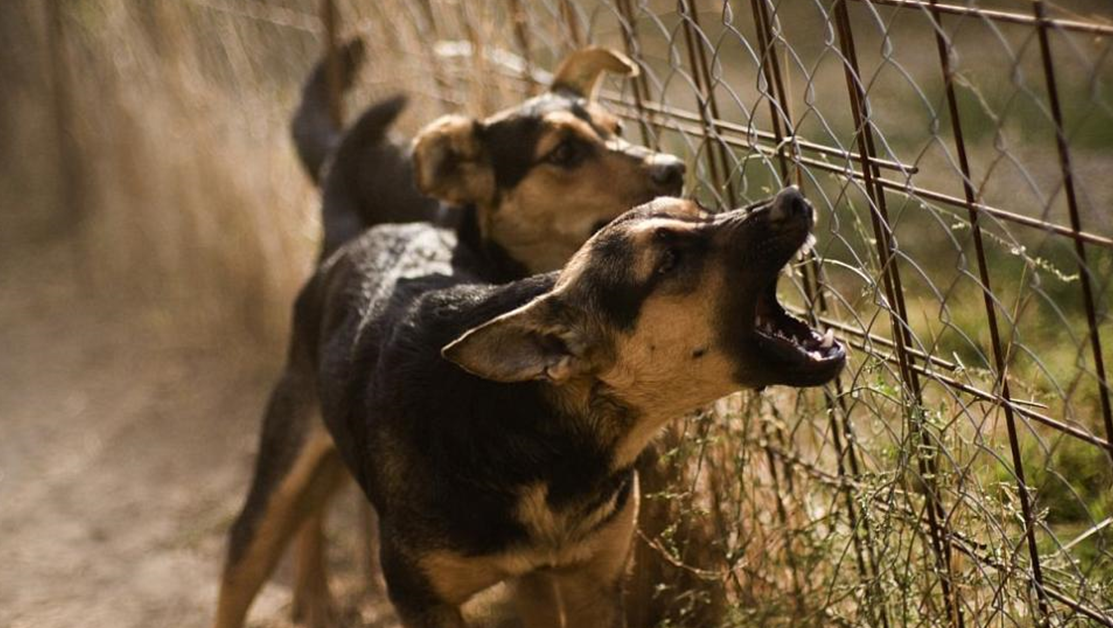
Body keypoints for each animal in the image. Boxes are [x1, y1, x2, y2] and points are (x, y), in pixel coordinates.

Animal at [209, 45, 681, 628]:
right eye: (564, 152)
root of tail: (350, 234)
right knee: (261, 536)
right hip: (291, 440)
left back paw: (314, 590)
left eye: (617, 128)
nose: (674, 169)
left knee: (315, 502)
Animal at [212, 188, 845, 628]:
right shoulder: (421, 601)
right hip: (274, 486)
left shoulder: (592, 582)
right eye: (667, 261)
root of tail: (358, 236)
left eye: (702, 209)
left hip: (535, 582)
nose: (793, 199)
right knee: (246, 560)